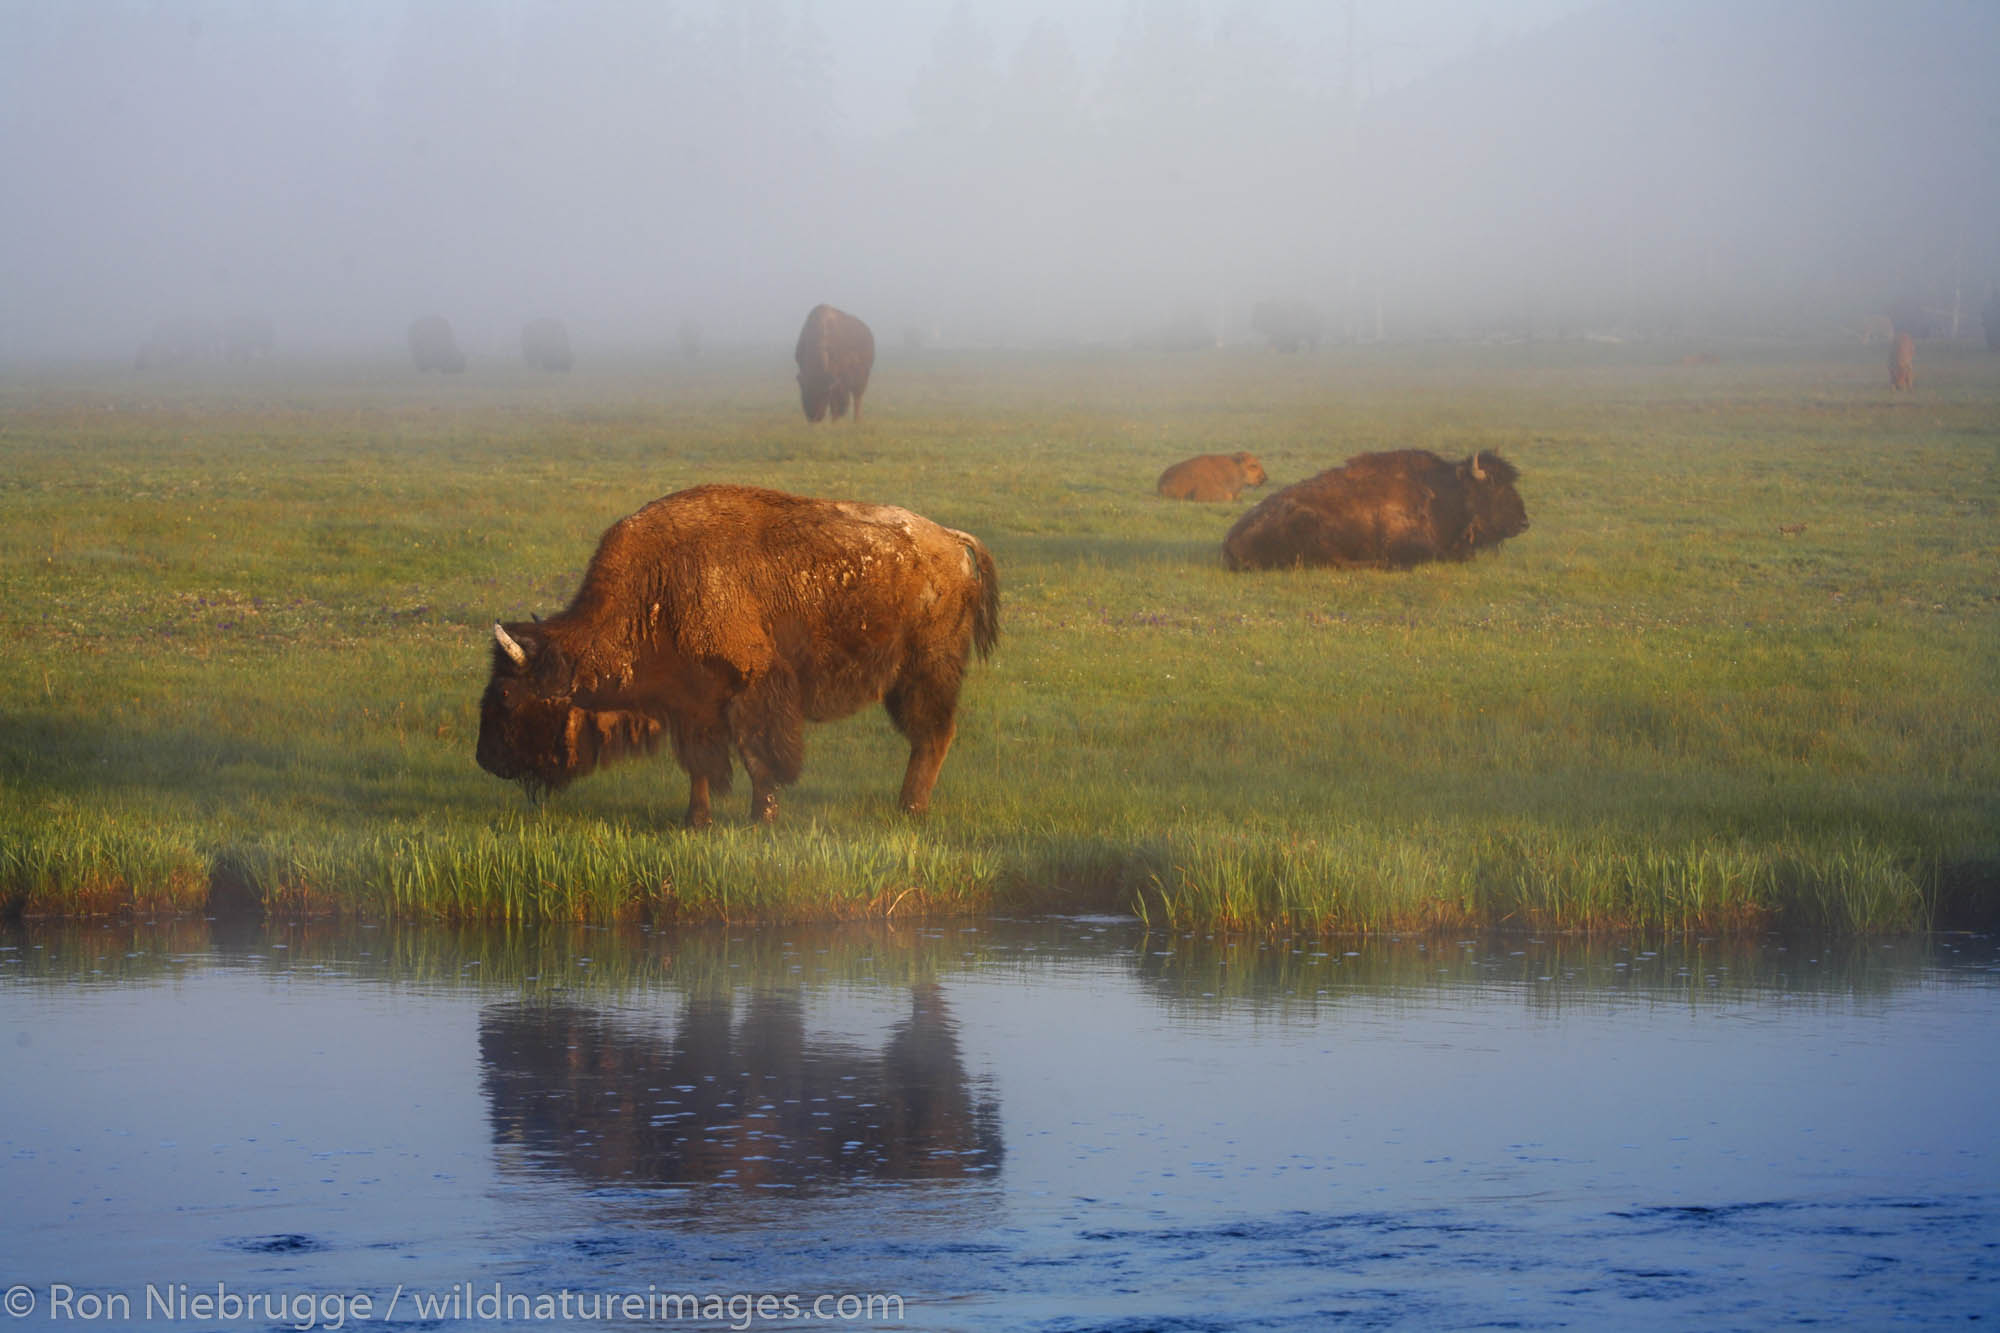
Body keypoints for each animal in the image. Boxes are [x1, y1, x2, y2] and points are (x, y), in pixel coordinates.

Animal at [470, 482, 1000, 824]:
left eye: (506, 696)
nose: (486, 760)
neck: (655, 586)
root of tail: (953, 542)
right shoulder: (690, 705)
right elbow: (701, 765)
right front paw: (696, 820)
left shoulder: (752, 688)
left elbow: (759, 758)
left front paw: (761, 818)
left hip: (925, 670)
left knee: (932, 735)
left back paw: (911, 808)